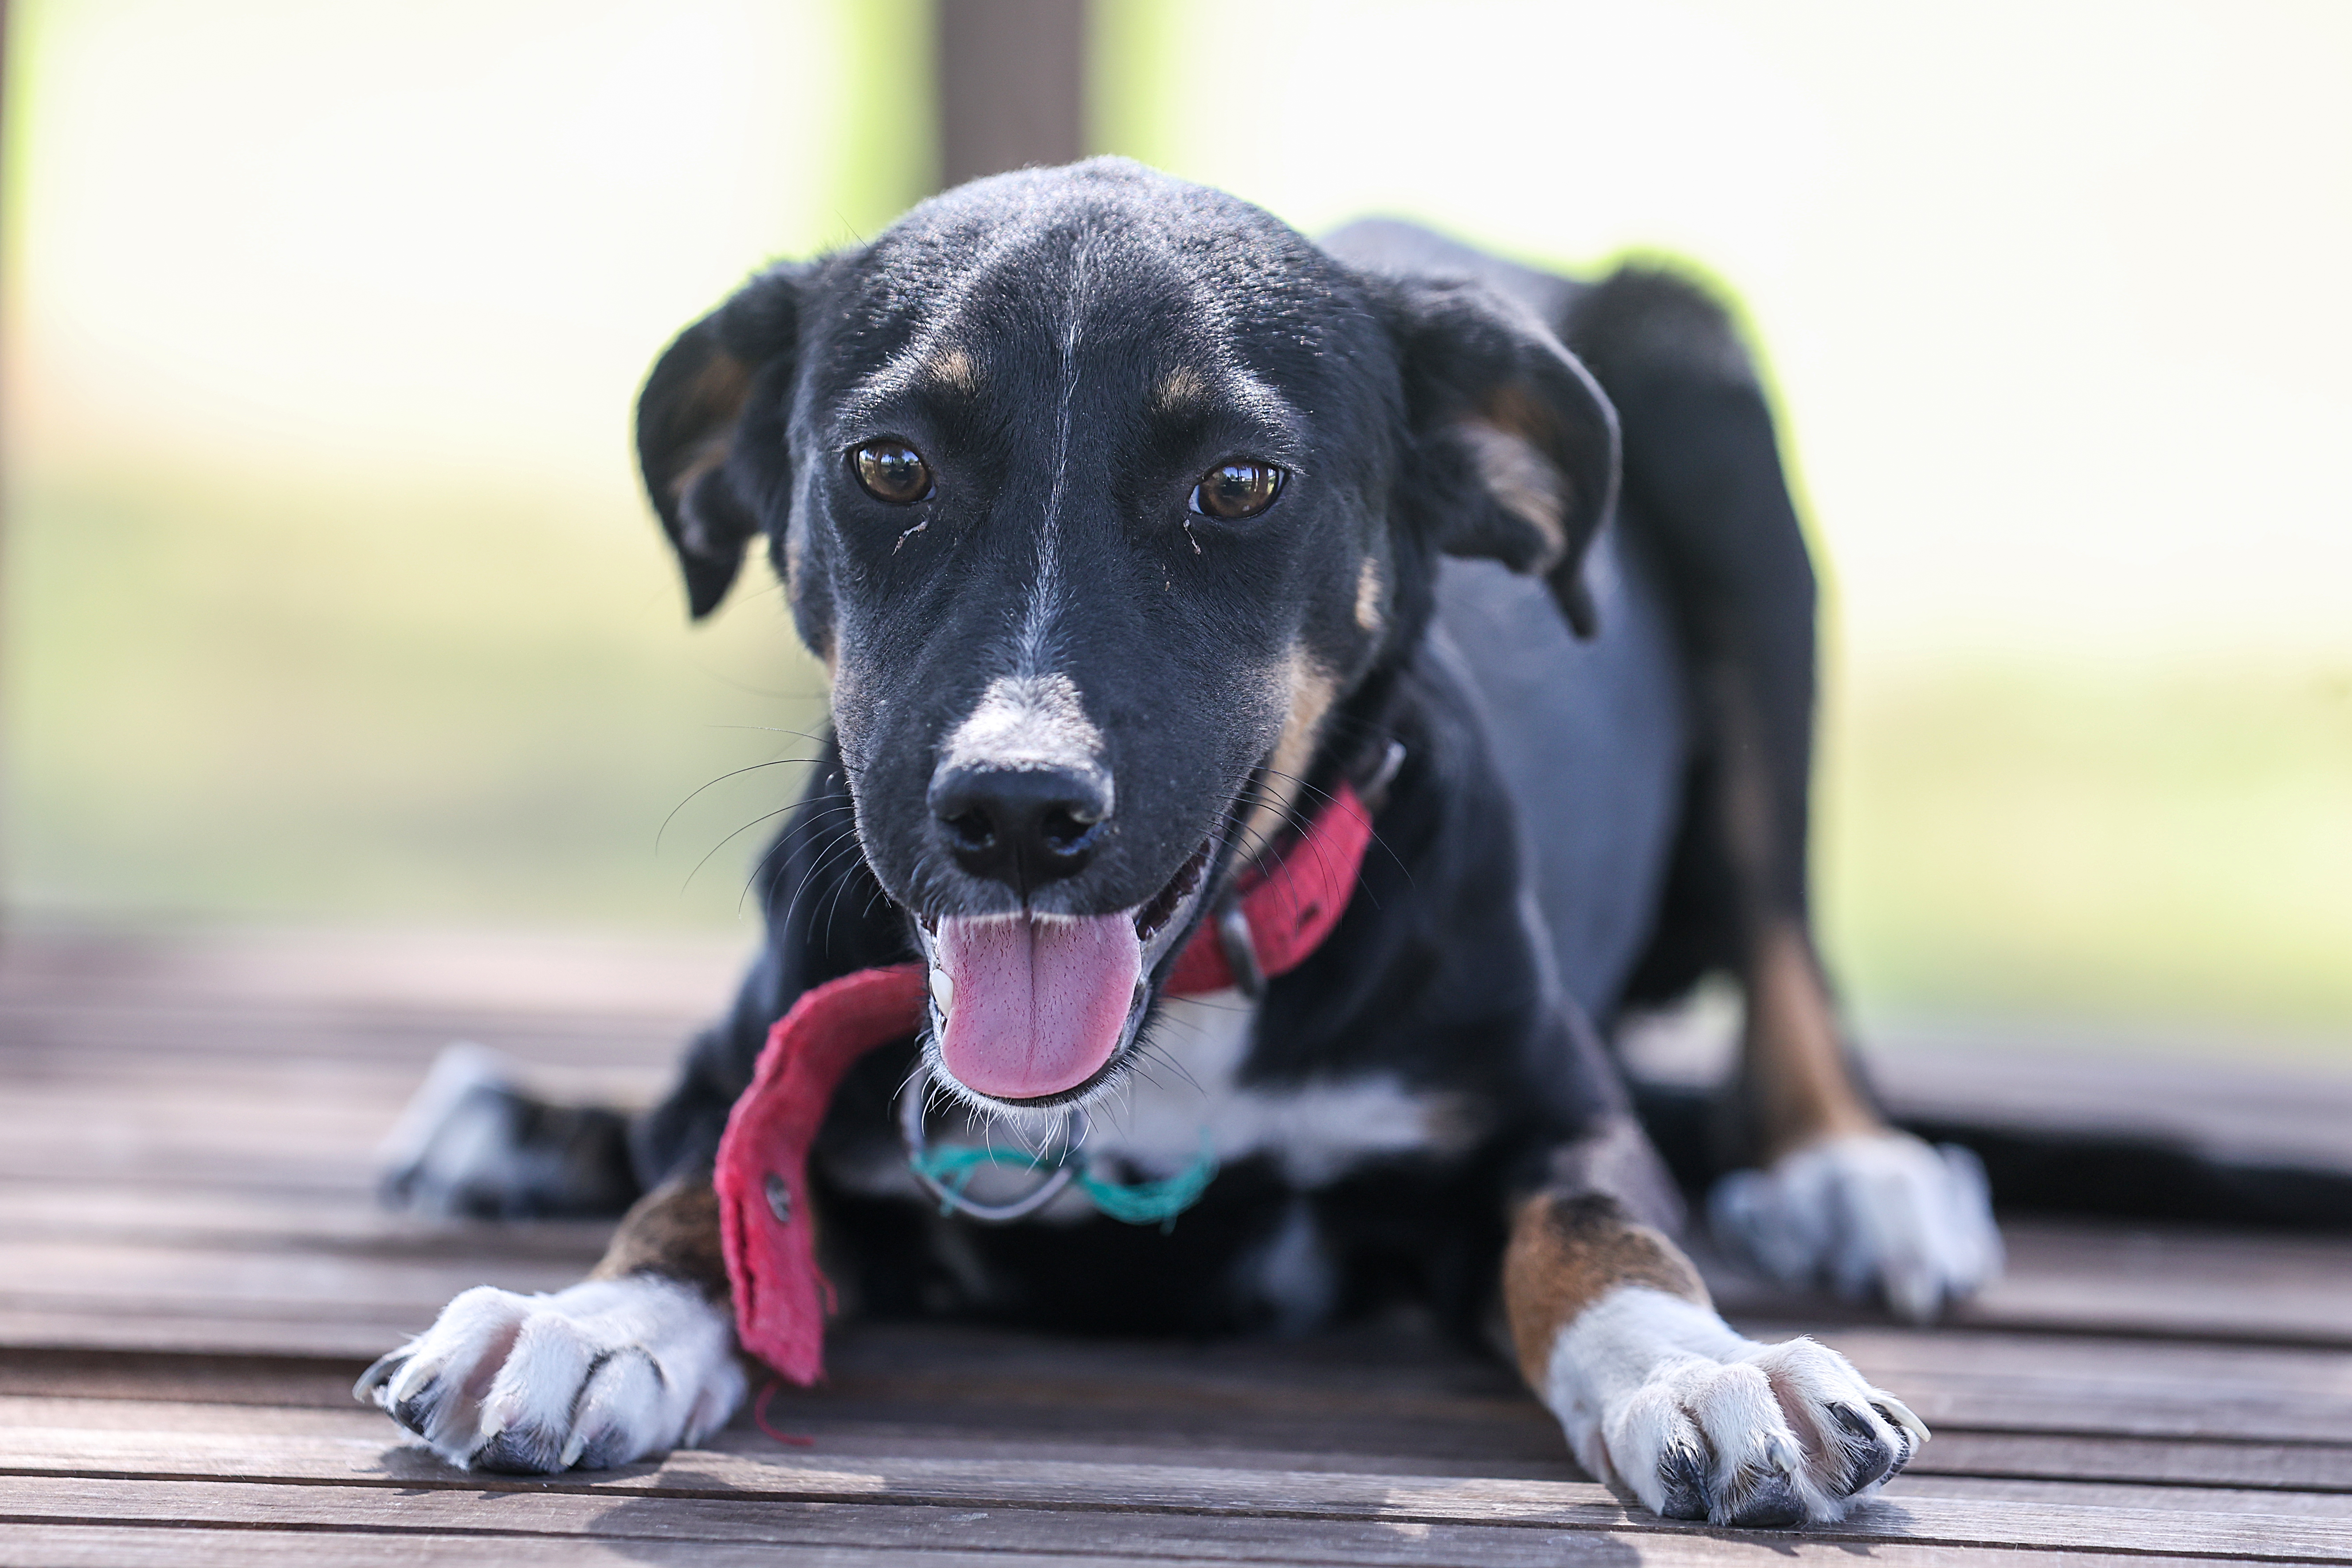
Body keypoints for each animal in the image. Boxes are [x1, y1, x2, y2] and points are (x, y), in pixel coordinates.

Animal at [357, 162, 1994, 1533]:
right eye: (886, 466)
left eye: (1240, 485)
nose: (1016, 809)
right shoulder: (759, 1072)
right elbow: (698, 1191)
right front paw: (591, 1322)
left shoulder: (1548, 1107)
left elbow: (1604, 1228)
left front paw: (1707, 1370)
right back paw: (515, 1125)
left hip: (1720, 434)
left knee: (1784, 932)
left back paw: (1856, 1173)